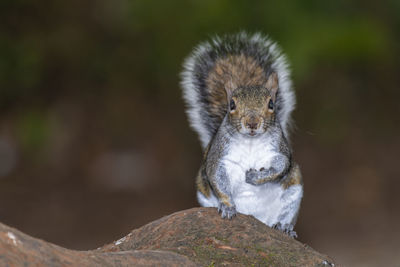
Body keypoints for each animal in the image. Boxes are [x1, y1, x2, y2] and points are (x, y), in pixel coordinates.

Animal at [180, 32, 302, 238]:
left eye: (271, 104)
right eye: (232, 105)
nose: (252, 123)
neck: (250, 142)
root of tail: (258, 219)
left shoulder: (279, 150)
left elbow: (281, 166)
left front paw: (255, 177)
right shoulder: (219, 157)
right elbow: (217, 179)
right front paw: (228, 206)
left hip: (293, 192)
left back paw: (284, 227)